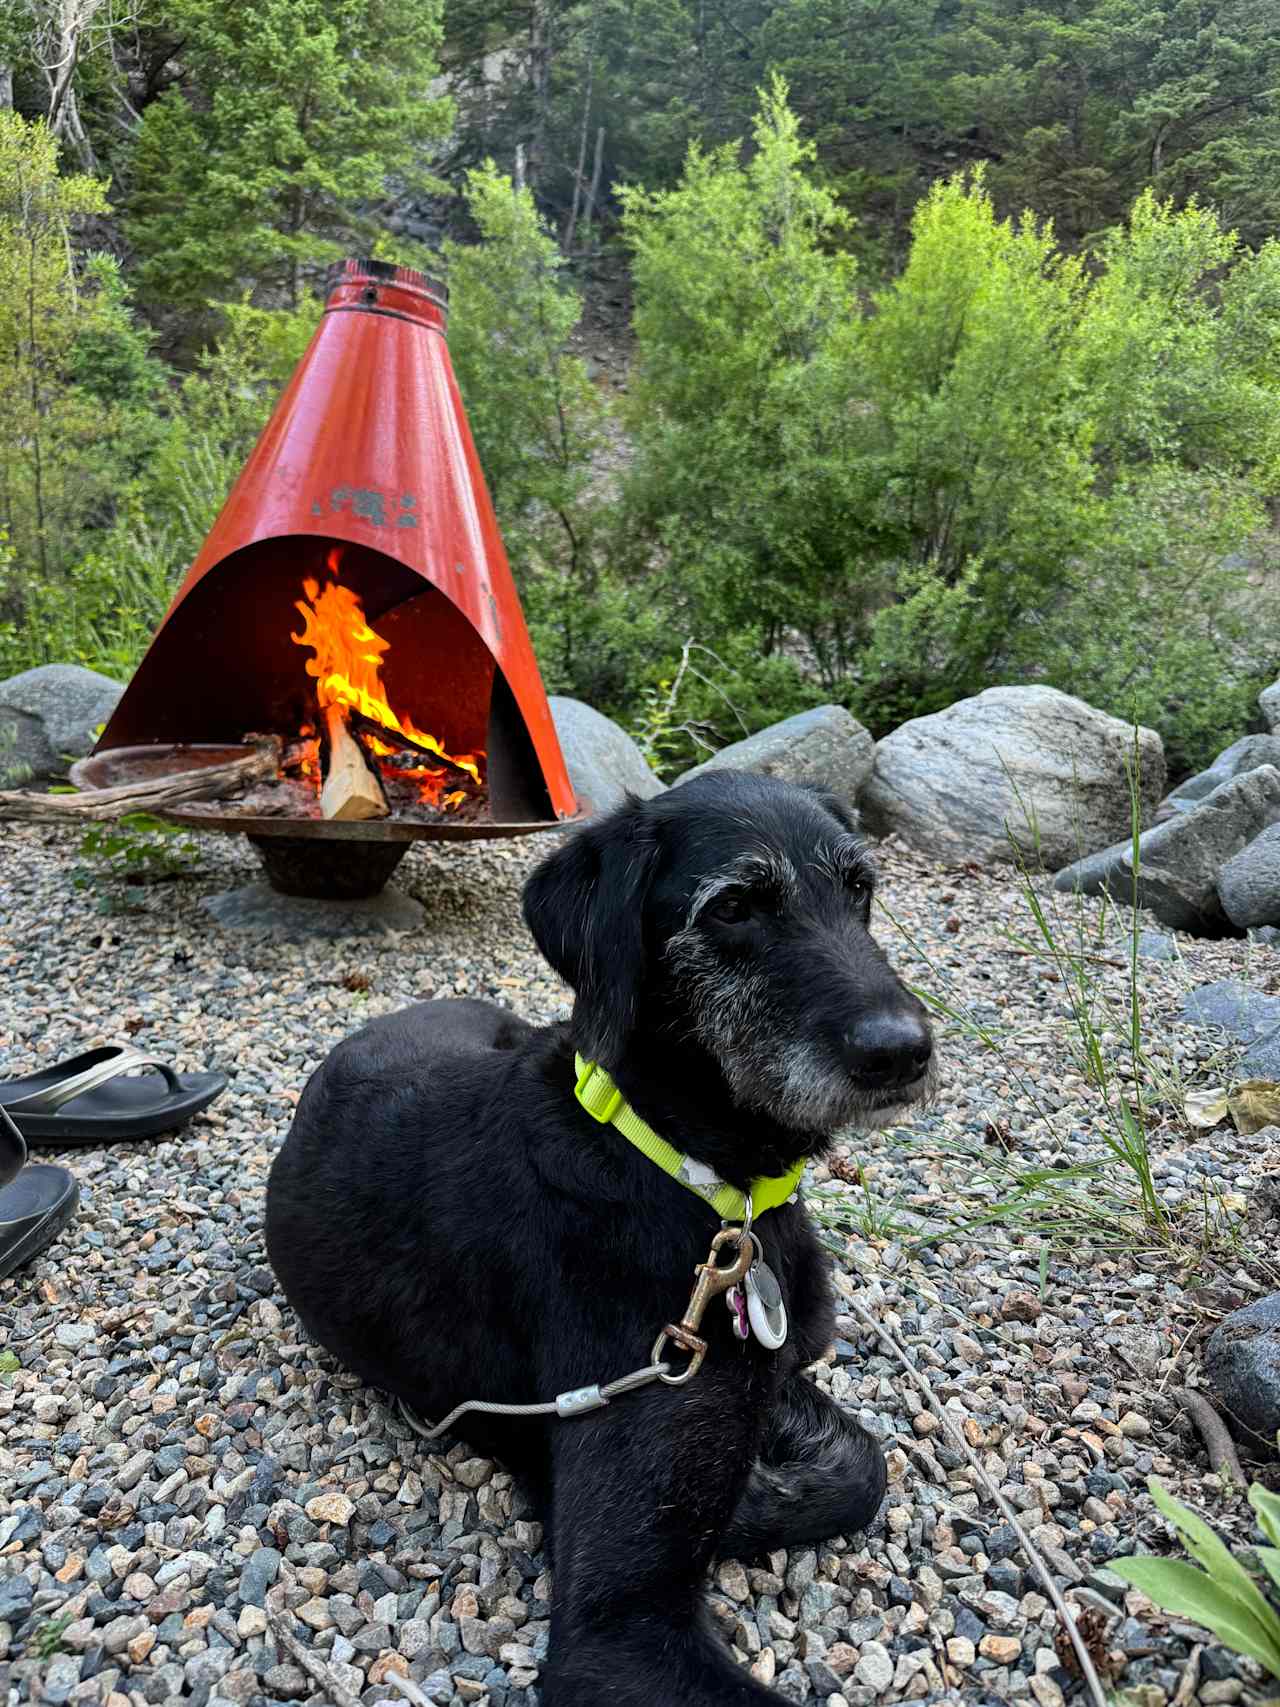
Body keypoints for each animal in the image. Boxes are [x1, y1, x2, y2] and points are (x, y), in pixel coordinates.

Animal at [266, 778, 935, 1707]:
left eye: (860, 888)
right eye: (733, 906)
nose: (904, 1051)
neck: (694, 1172)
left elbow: (863, 1463)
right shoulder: (619, 1630)